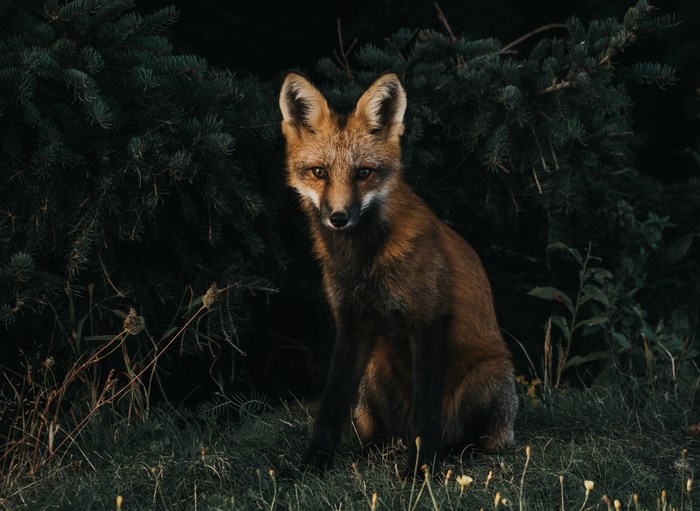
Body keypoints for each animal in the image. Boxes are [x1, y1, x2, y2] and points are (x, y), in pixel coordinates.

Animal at [278, 72, 518, 475]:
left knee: (476, 440)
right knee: (380, 433)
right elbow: (329, 407)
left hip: (491, 377)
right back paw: (373, 450)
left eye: (364, 173)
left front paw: (421, 471)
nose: (339, 218)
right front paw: (313, 464)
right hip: (373, 375)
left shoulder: (428, 320)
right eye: (319, 172)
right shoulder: (351, 323)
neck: (363, 263)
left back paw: (452, 453)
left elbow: (426, 413)